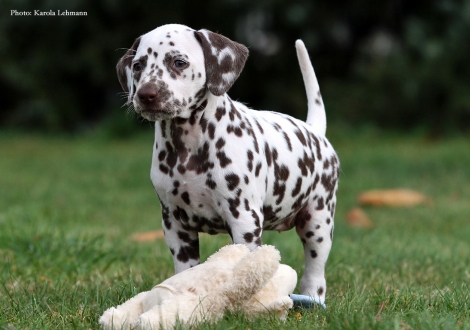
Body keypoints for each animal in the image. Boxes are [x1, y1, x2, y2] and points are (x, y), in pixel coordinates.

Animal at [116, 23, 340, 304]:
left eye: (178, 62)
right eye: (138, 66)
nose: (146, 94)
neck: (187, 148)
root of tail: (314, 130)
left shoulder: (244, 221)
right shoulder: (175, 225)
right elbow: (185, 272)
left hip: (318, 221)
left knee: (315, 272)